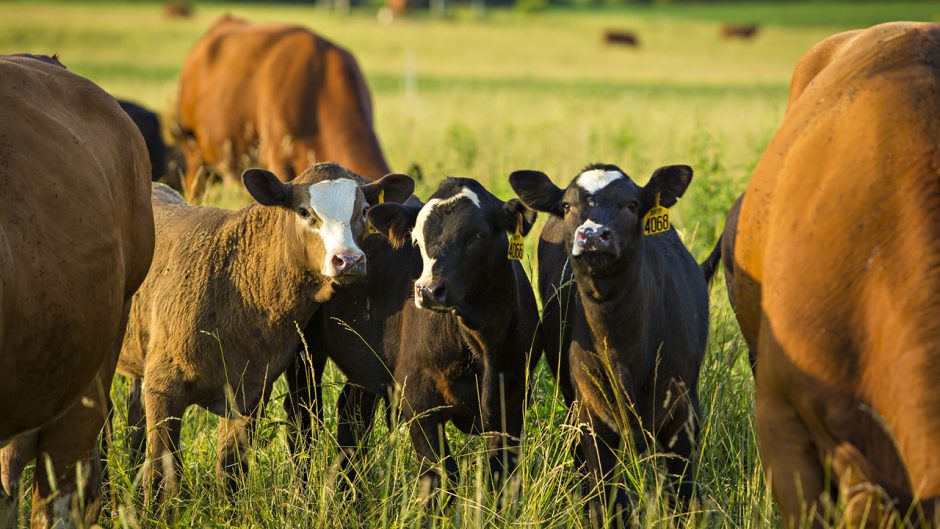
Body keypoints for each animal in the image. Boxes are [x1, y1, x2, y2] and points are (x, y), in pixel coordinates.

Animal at [114, 163, 412, 506]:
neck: (236, 283)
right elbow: (163, 474)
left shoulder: (250, 391)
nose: (348, 259)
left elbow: (231, 471)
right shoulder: (164, 388)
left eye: (363, 210)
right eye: (304, 211)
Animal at [510, 162, 708, 524]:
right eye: (567, 205)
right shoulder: (592, 418)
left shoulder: (683, 416)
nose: (592, 236)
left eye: (631, 204)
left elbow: (683, 499)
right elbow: (606, 501)